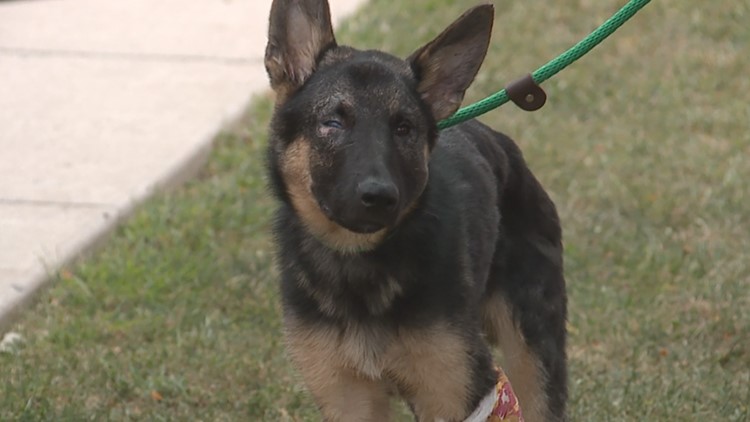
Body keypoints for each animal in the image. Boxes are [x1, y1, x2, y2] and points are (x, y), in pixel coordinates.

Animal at [268, 1, 568, 420]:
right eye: (332, 122)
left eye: (404, 128)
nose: (379, 196)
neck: (358, 265)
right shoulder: (348, 398)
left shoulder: (454, 390)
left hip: (533, 348)